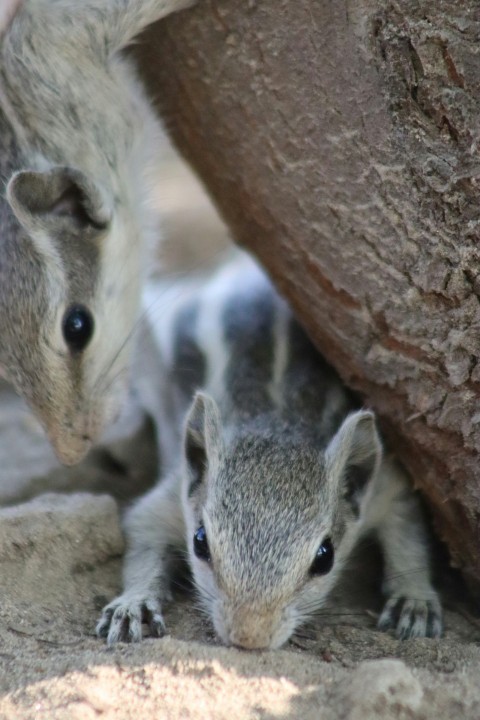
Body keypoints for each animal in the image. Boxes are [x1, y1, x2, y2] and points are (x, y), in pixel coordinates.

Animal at [96, 250, 442, 648]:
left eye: (325, 557)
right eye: (200, 542)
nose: (249, 637)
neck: (278, 419)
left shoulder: (382, 489)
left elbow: (408, 532)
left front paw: (414, 599)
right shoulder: (174, 495)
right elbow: (143, 529)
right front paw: (133, 602)